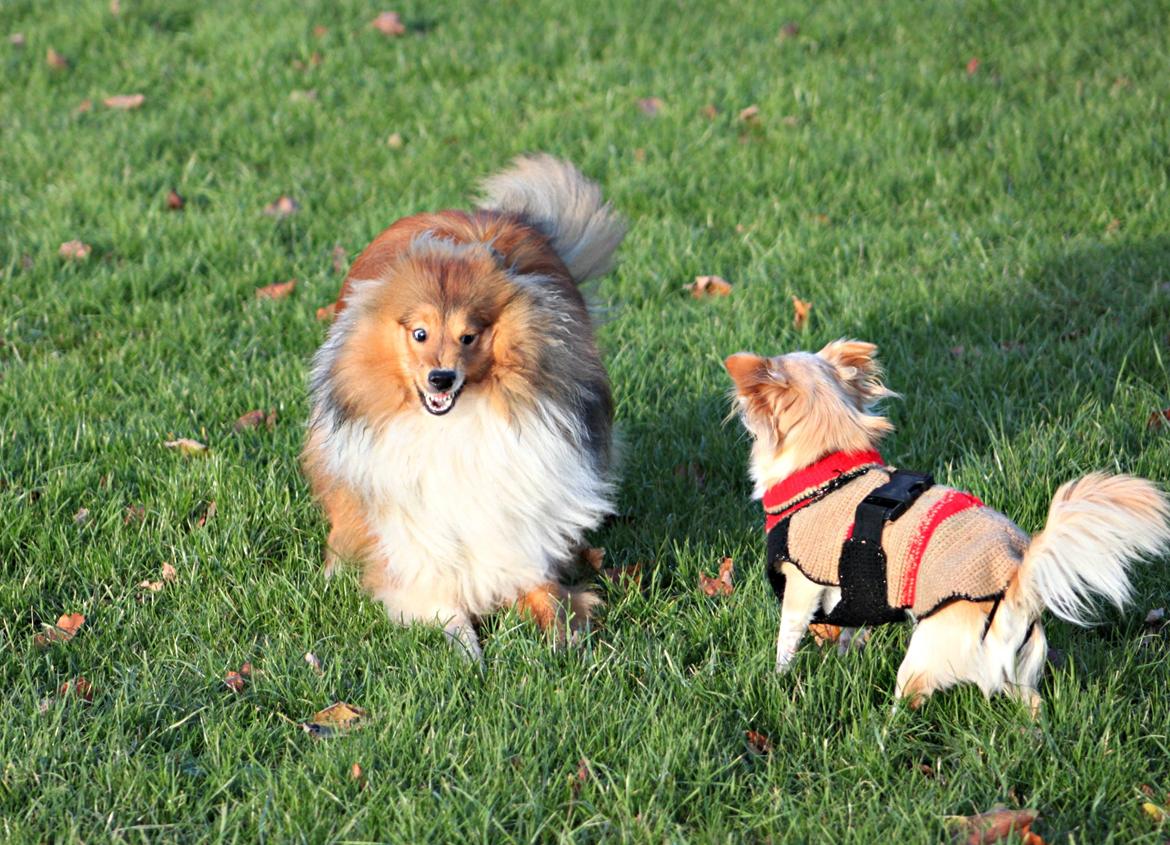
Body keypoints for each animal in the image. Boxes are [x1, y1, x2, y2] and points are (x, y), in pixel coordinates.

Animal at [306, 156, 627, 660]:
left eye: (469, 336)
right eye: (419, 333)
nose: (442, 378)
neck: (455, 427)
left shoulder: (521, 518)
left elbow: (546, 592)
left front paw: (566, 638)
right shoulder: (416, 533)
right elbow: (445, 608)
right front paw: (467, 654)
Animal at [725, 339, 1165, 706]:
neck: (827, 473)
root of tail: (1015, 588)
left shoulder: (802, 587)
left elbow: (787, 639)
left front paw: (778, 678)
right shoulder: (852, 591)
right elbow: (850, 629)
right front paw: (845, 658)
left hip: (923, 657)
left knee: (908, 703)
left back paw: (885, 732)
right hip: (1019, 673)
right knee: (1034, 706)